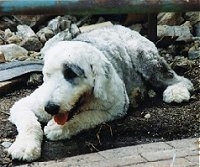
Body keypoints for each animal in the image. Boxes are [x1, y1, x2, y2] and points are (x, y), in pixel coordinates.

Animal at [7, 25, 193, 161]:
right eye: (47, 74)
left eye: (71, 74)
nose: (50, 108)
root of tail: (122, 27)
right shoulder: (23, 105)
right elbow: (29, 122)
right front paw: (24, 147)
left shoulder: (116, 107)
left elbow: (87, 117)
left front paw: (58, 128)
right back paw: (138, 94)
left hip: (144, 57)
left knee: (180, 79)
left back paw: (176, 92)